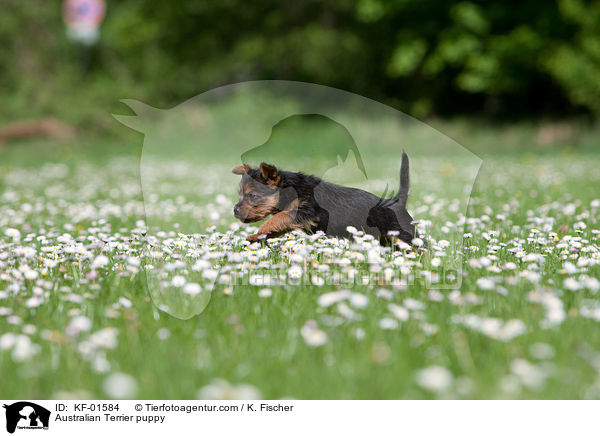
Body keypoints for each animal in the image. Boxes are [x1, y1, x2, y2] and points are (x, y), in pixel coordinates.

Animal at [232, 152, 420, 245]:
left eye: (252, 196)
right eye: (240, 195)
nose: (235, 210)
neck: (290, 189)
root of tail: (397, 201)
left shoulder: (304, 210)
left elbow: (278, 218)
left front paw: (260, 230)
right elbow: (277, 225)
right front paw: (256, 237)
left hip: (403, 233)